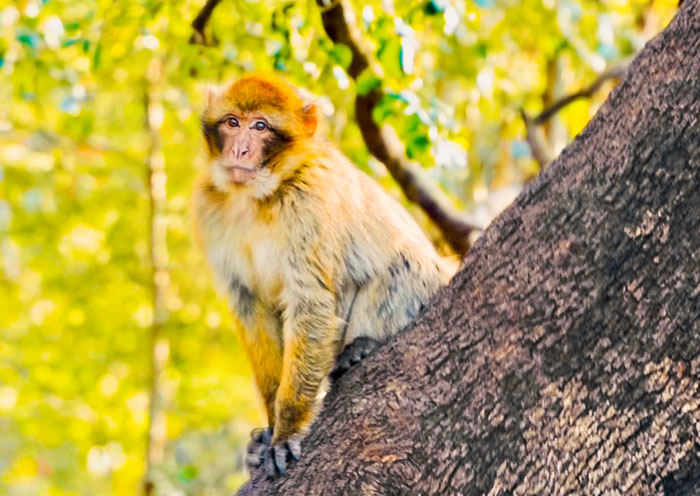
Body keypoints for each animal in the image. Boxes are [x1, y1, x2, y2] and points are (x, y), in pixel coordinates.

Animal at [192, 74, 456, 478]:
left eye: (260, 126)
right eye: (233, 122)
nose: (239, 150)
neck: (257, 198)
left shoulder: (309, 200)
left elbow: (311, 303)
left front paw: (287, 429)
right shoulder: (209, 209)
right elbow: (251, 307)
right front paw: (271, 428)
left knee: (403, 262)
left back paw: (361, 346)